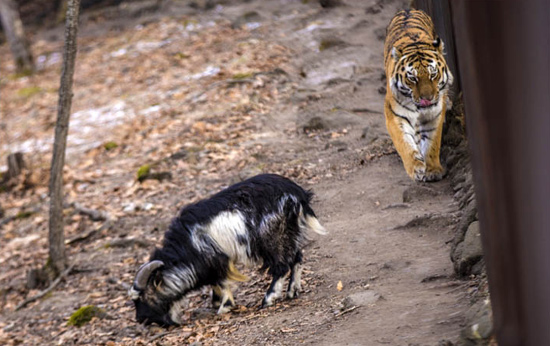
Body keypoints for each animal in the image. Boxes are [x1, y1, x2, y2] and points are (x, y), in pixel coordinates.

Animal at [128, 174, 328, 326]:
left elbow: (222, 281)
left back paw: (268, 299)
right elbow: (215, 283)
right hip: (289, 233)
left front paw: (224, 306)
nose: (141, 319)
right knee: (297, 257)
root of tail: (296, 193)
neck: (186, 246)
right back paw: (292, 291)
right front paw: (216, 301)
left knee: (281, 266)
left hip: (272, 238)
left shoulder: (216, 258)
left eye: (143, 297)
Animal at [386, 8, 454, 181]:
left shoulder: (435, 115)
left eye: (433, 74)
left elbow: (432, 143)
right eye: (412, 78)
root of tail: (407, 9)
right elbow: (404, 142)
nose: (426, 99)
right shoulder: (394, 114)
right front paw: (416, 168)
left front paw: (433, 170)